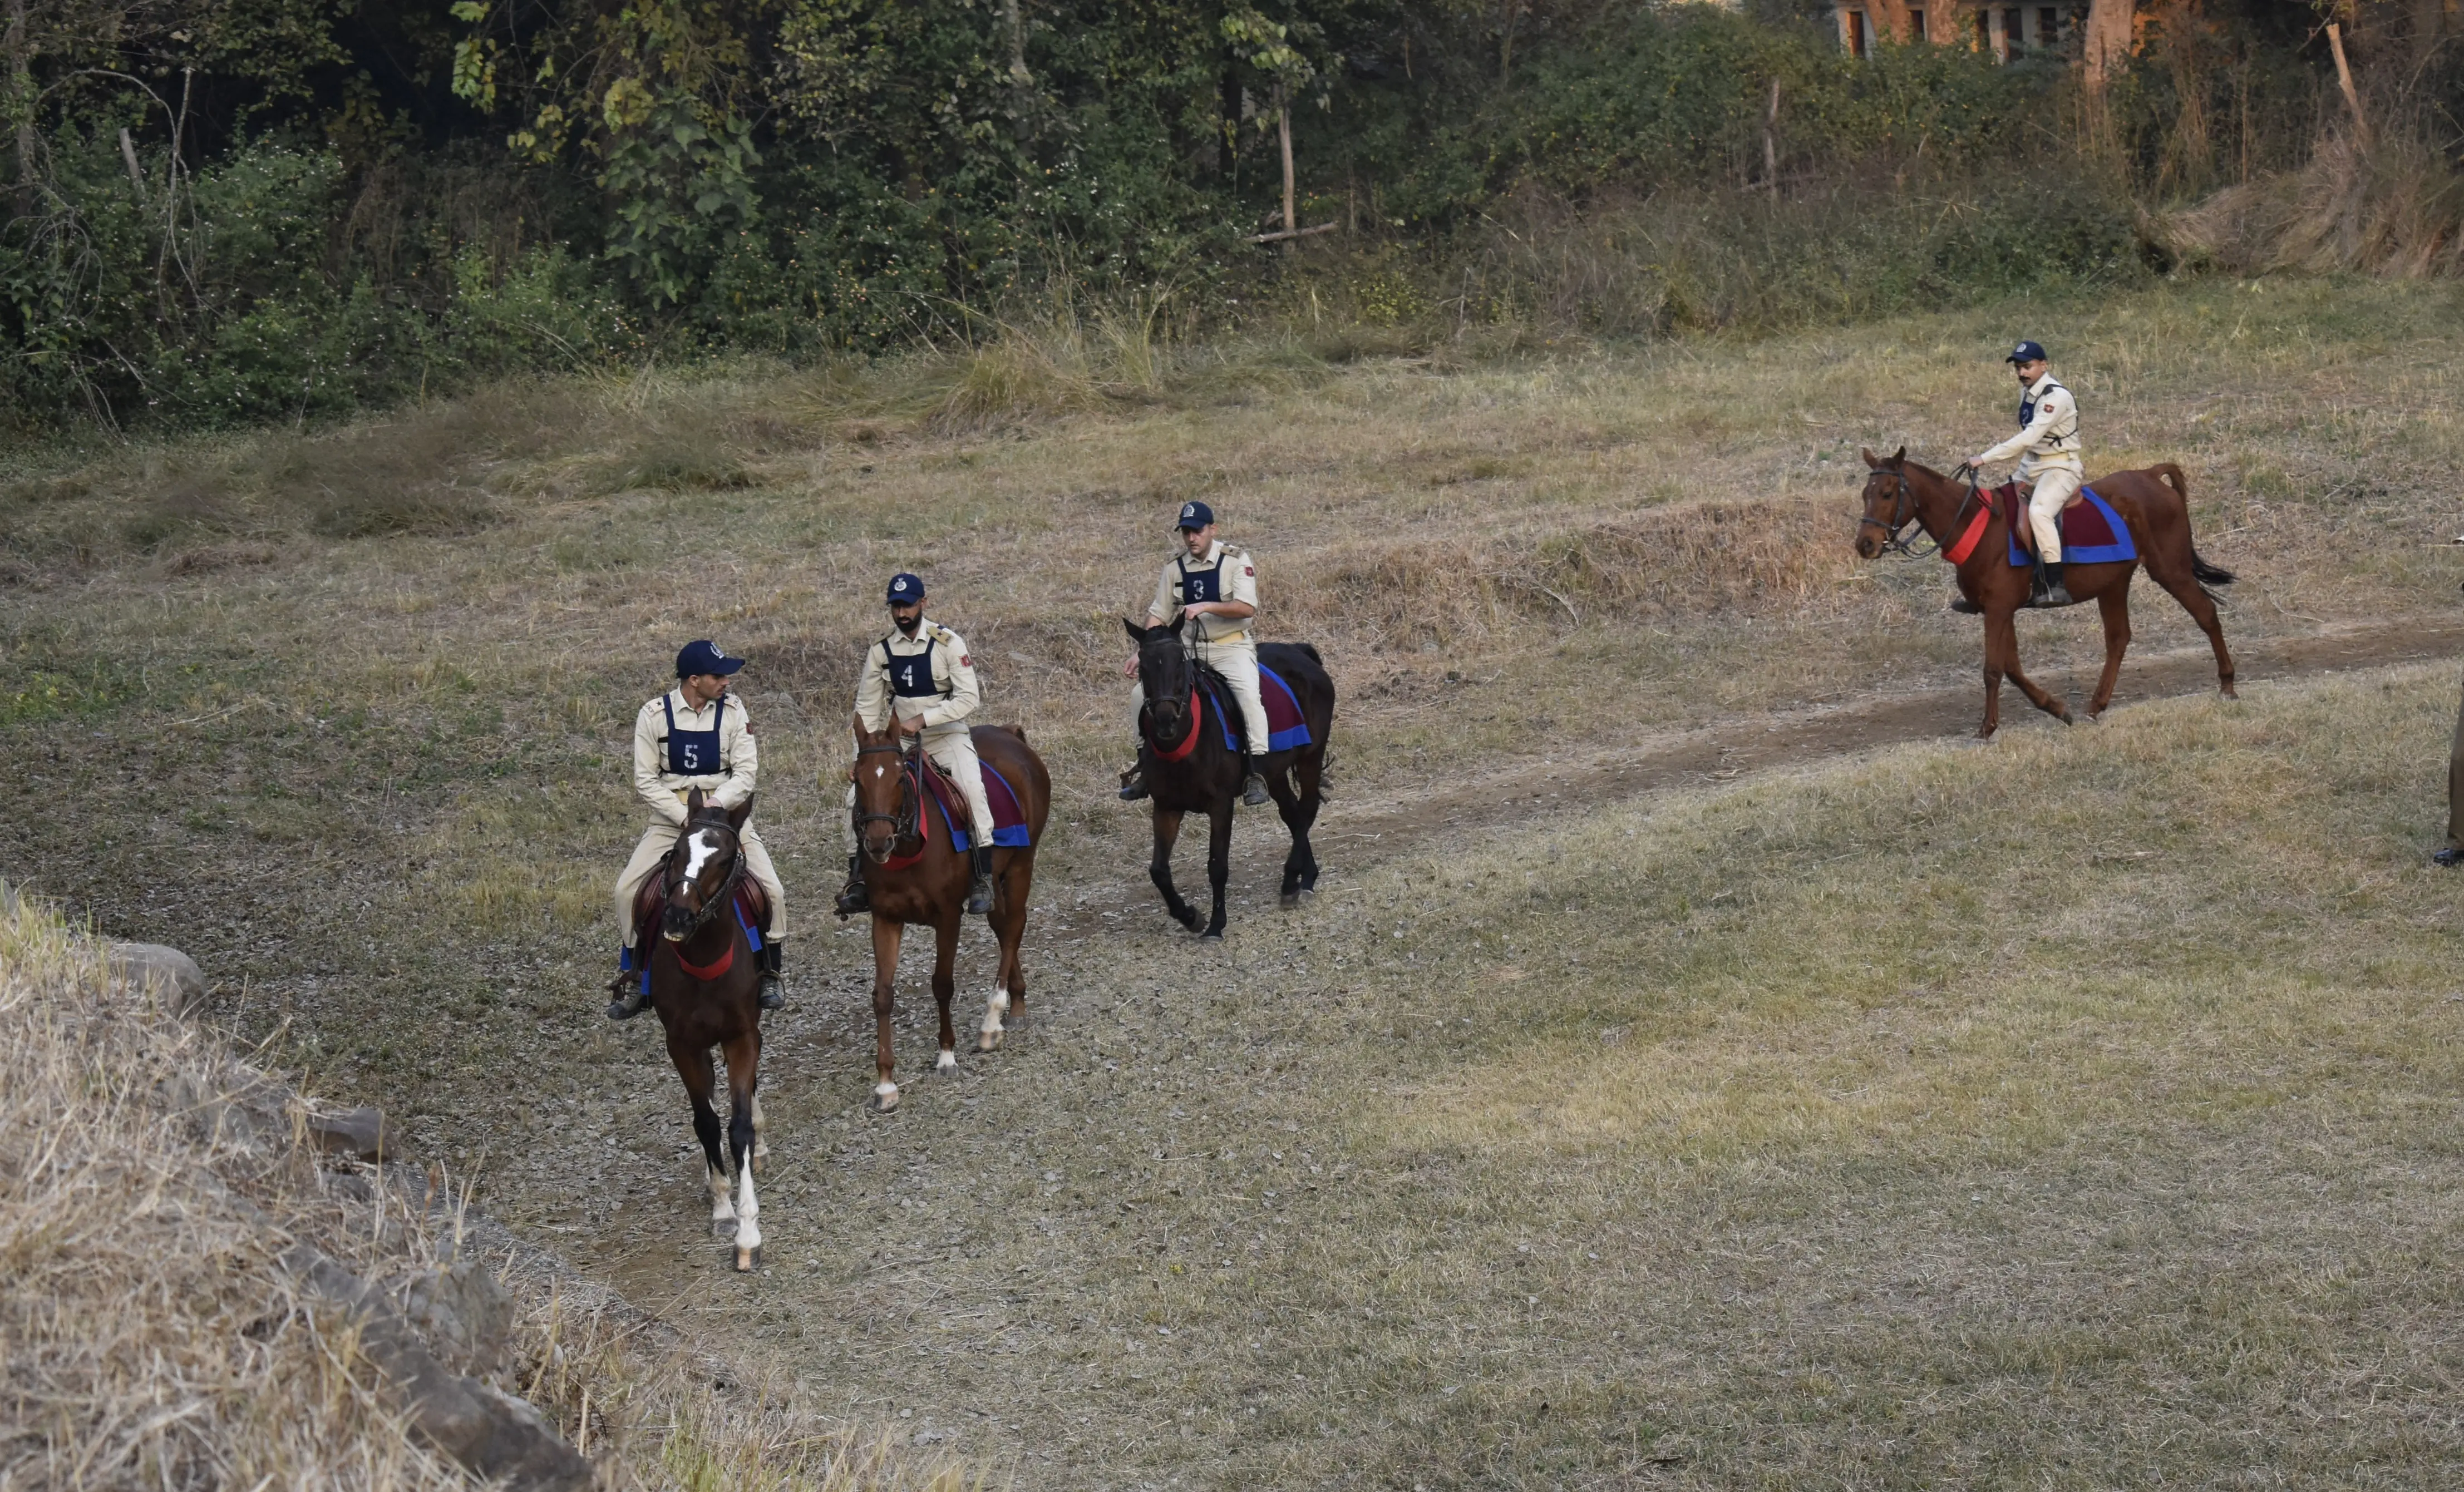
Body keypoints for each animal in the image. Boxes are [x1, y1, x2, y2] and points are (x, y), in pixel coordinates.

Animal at [638, 787, 768, 1271]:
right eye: (677, 851)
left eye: (725, 859)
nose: (677, 917)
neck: (705, 962)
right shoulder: (683, 1045)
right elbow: (706, 1122)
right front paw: (723, 1207)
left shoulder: (742, 1036)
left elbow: (739, 1127)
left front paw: (748, 1233)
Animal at [847, 718, 1051, 1114]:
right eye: (857, 778)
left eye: (899, 777)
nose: (878, 843)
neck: (910, 847)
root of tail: (1010, 734)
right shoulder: (885, 918)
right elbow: (883, 995)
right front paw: (886, 1083)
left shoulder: (947, 916)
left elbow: (942, 984)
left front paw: (946, 1056)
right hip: (996, 879)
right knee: (1003, 927)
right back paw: (1016, 1003)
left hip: (1023, 863)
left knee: (1013, 928)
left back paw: (992, 1020)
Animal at [1123, 618, 1336, 939]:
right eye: (1144, 666)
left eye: (1180, 662)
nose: (1165, 721)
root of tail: (1301, 654)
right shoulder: (1167, 806)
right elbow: (1159, 871)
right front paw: (1190, 917)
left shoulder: (1221, 805)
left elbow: (1217, 866)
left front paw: (1215, 924)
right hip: (1274, 772)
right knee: (1293, 814)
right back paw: (1305, 878)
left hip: (1311, 756)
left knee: (1308, 809)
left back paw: (1291, 881)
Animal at [1853, 448, 2237, 739]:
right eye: (1864, 495)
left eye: (1887, 493)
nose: (1865, 545)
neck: (1977, 526)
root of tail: (2150, 474)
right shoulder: (2001, 610)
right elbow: (2012, 667)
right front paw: (2056, 709)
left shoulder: (1999, 609)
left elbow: (1993, 669)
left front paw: (1987, 727)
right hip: (2114, 583)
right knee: (2118, 639)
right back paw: (2096, 705)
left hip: (2170, 571)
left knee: (2206, 614)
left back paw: (2228, 686)